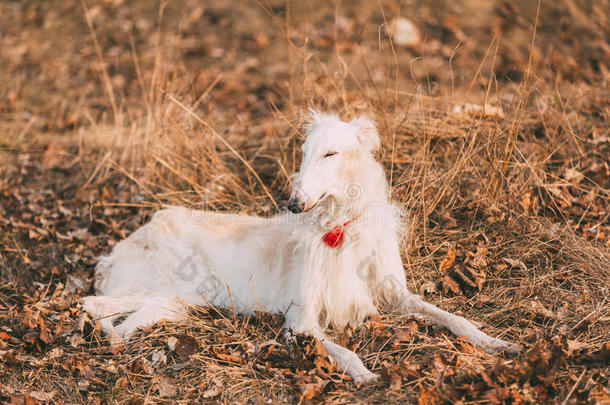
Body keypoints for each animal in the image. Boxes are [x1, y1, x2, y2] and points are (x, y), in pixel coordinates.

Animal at [82, 111, 516, 382]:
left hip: (173, 300)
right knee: (92, 305)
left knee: (121, 319)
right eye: (304, 153)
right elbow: (345, 352)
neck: (341, 227)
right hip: (166, 288)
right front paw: (365, 375)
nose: (292, 204)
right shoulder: (301, 321)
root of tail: (115, 251)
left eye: (331, 153)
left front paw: (496, 343)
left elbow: (456, 319)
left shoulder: (395, 295)